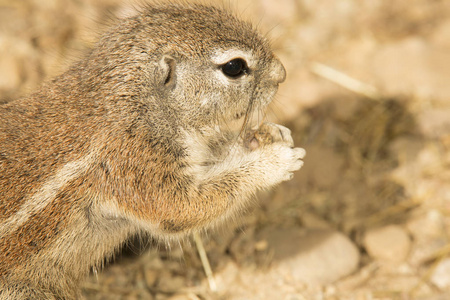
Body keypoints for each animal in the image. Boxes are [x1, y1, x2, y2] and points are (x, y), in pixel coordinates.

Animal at [0, 1, 304, 298]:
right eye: (234, 67)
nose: (282, 73)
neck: (137, 103)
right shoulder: (136, 160)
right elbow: (182, 208)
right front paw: (274, 161)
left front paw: (265, 135)